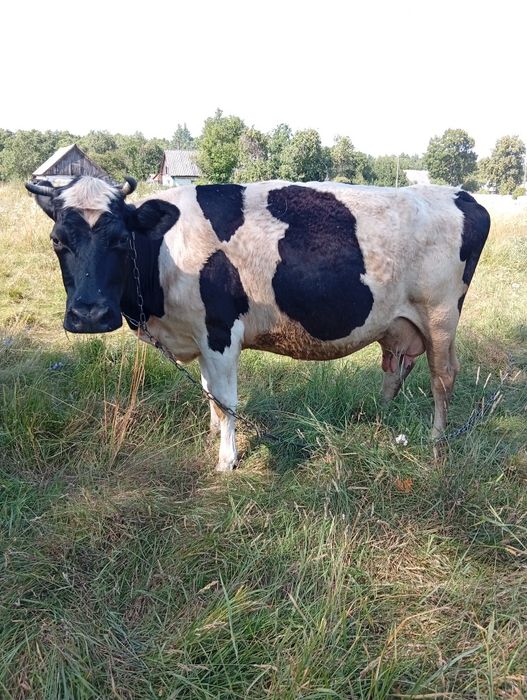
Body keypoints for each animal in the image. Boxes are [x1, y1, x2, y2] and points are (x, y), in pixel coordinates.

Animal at [26, 176, 490, 471]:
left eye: (120, 239)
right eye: (57, 241)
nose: (89, 315)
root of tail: (460, 195)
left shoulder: (220, 332)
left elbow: (226, 399)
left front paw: (226, 460)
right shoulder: (199, 334)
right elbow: (209, 393)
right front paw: (213, 435)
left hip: (440, 316)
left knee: (443, 378)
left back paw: (436, 443)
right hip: (402, 325)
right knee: (395, 373)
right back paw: (382, 421)